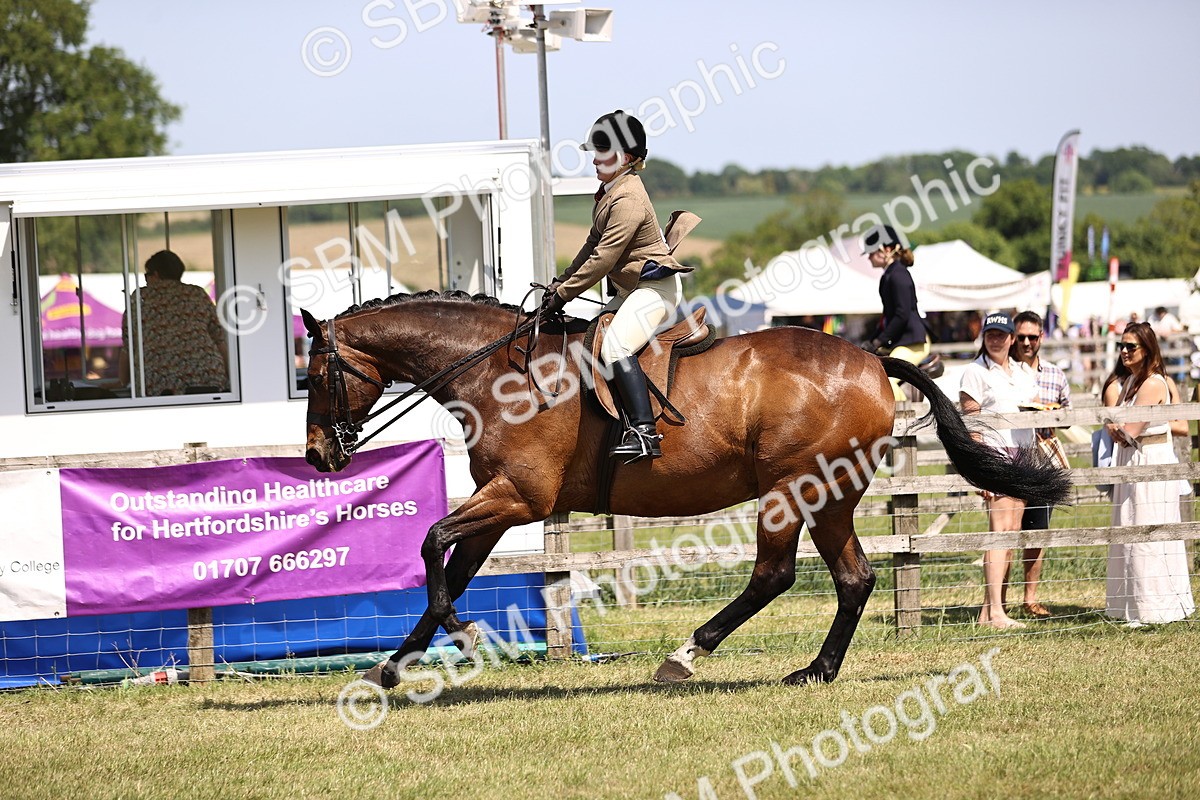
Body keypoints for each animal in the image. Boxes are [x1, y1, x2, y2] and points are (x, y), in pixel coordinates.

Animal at [302, 290, 1070, 689]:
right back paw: (815, 671)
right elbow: (449, 569)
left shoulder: (519, 496)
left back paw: (686, 655)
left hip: (794, 490)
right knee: (852, 578)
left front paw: (461, 640)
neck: (496, 373)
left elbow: (432, 544)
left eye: (314, 376)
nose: (317, 456)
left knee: (774, 575)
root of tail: (871, 359)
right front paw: (391, 669)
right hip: (828, 497)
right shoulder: (499, 502)